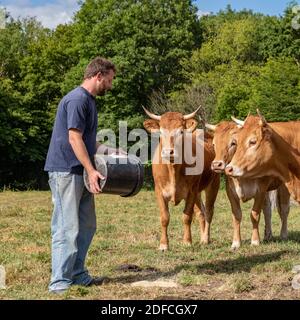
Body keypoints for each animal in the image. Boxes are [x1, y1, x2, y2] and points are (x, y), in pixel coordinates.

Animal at [143, 107, 220, 250]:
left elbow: (187, 216)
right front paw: (163, 244)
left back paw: (206, 238)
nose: (168, 152)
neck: (173, 169)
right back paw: (202, 237)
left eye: (181, 131)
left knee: (209, 212)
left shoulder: (191, 192)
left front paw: (187, 241)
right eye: (160, 132)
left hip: (213, 184)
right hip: (198, 192)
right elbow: (164, 217)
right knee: (201, 212)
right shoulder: (159, 191)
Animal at [207, 121, 290, 249]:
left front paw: (255, 241)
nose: (216, 164)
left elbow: (254, 214)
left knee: (285, 209)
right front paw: (236, 243)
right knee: (267, 209)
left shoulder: (260, 190)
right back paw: (268, 235)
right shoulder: (231, 192)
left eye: (233, 143)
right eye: (214, 144)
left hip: (283, 186)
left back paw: (284, 234)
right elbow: (236, 215)